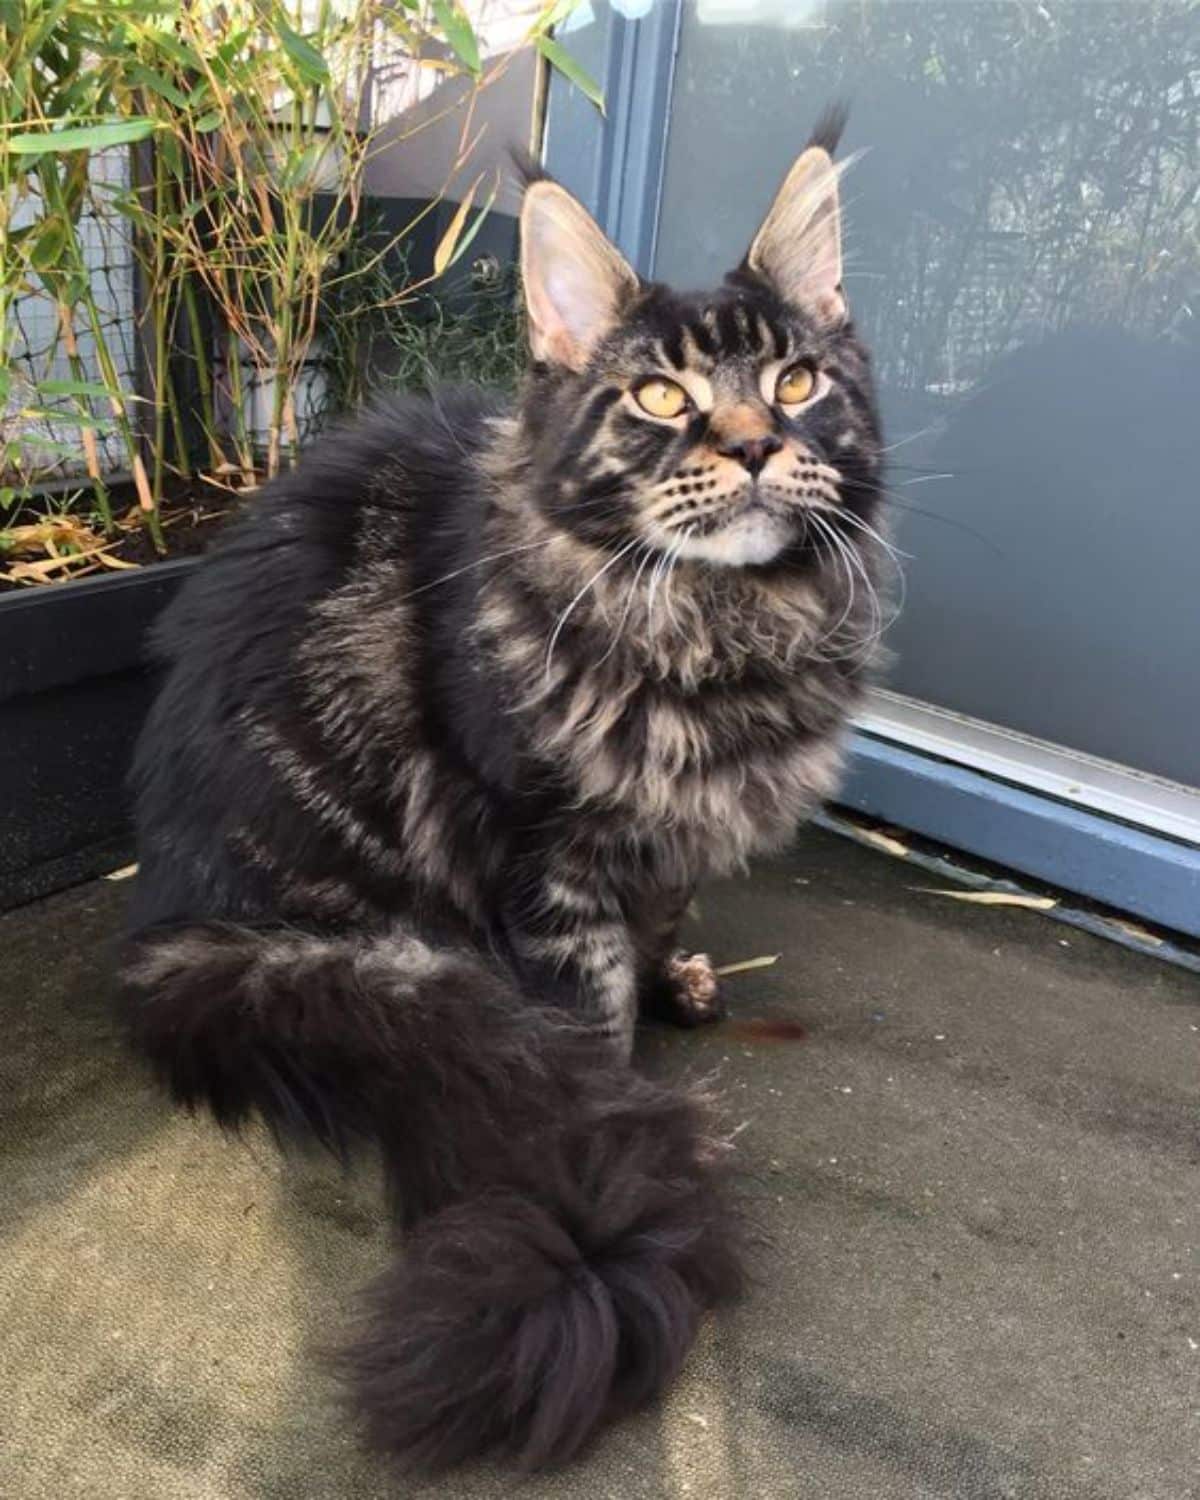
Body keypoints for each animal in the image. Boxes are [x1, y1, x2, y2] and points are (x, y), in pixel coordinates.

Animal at [121, 111, 888, 1470]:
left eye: (798, 382)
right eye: (660, 397)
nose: (756, 445)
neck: (723, 631)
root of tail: (175, 926)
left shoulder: (661, 847)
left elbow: (663, 921)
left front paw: (678, 987)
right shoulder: (544, 853)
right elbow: (595, 1009)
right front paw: (609, 1114)